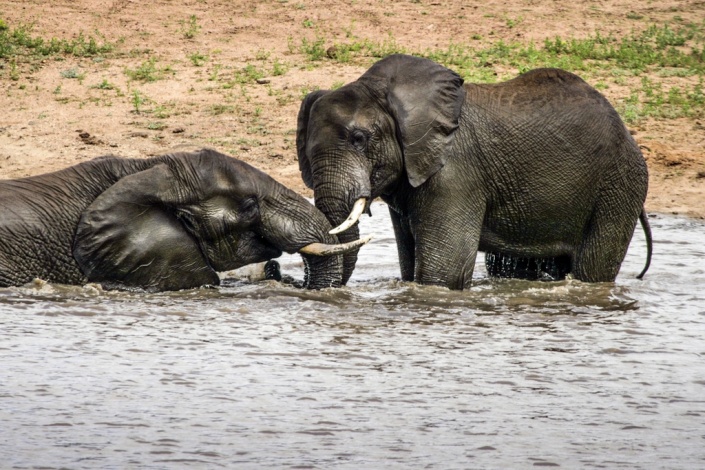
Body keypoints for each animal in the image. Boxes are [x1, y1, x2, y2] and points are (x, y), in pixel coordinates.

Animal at [297, 54, 652, 289]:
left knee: (593, 270)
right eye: (308, 153)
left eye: (359, 139)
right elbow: (410, 265)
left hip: (620, 185)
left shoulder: (455, 174)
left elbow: (444, 272)